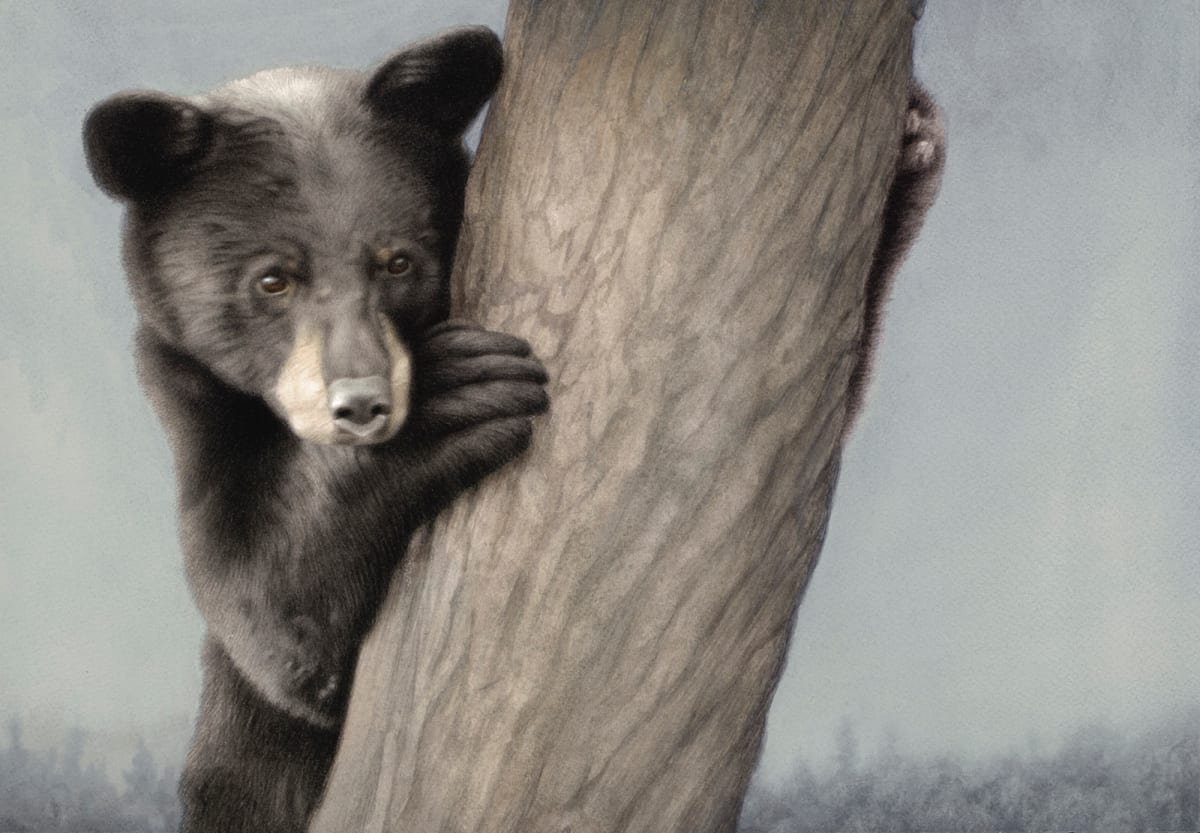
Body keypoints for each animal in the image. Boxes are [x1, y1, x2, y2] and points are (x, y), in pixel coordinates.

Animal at [83, 26, 547, 833]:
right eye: (274, 278)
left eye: (398, 260)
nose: (362, 405)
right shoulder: (198, 422)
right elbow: (265, 604)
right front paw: (455, 390)